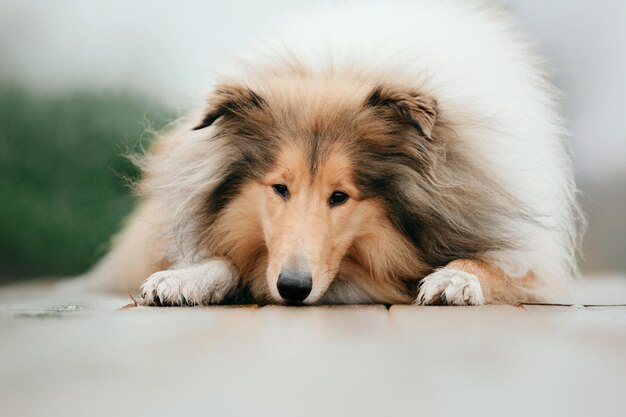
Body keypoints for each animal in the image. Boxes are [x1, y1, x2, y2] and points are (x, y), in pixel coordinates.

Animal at [79, 0, 580, 306]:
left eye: (340, 196)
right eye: (279, 188)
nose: (292, 288)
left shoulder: (534, 262)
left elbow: (495, 265)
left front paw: (455, 277)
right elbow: (226, 258)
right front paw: (184, 278)